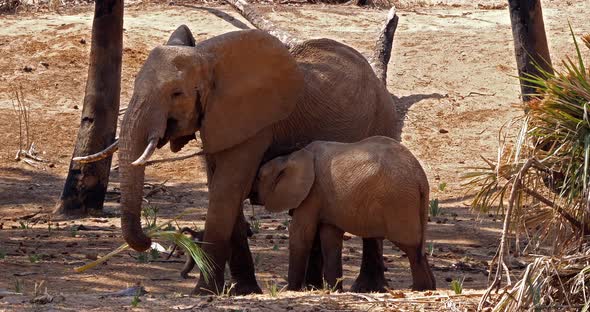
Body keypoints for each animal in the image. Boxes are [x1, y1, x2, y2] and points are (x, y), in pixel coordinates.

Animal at [114, 22, 404, 294]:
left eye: (176, 93)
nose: (151, 239)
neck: (208, 58)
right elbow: (223, 188)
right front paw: (243, 291)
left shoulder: (257, 123)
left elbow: (227, 190)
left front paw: (203, 293)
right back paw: (314, 287)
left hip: (383, 120)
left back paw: (366, 288)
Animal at [253, 135, 434, 292]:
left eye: (259, 178)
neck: (292, 156)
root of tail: (421, 179)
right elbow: (330, 238)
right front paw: (334, 290)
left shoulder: (312, 193)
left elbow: (301, 234)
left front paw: (291, 290)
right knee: (417, 248)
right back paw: (428, 288)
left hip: (398, 201)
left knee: (410, 246)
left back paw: (420, 288)